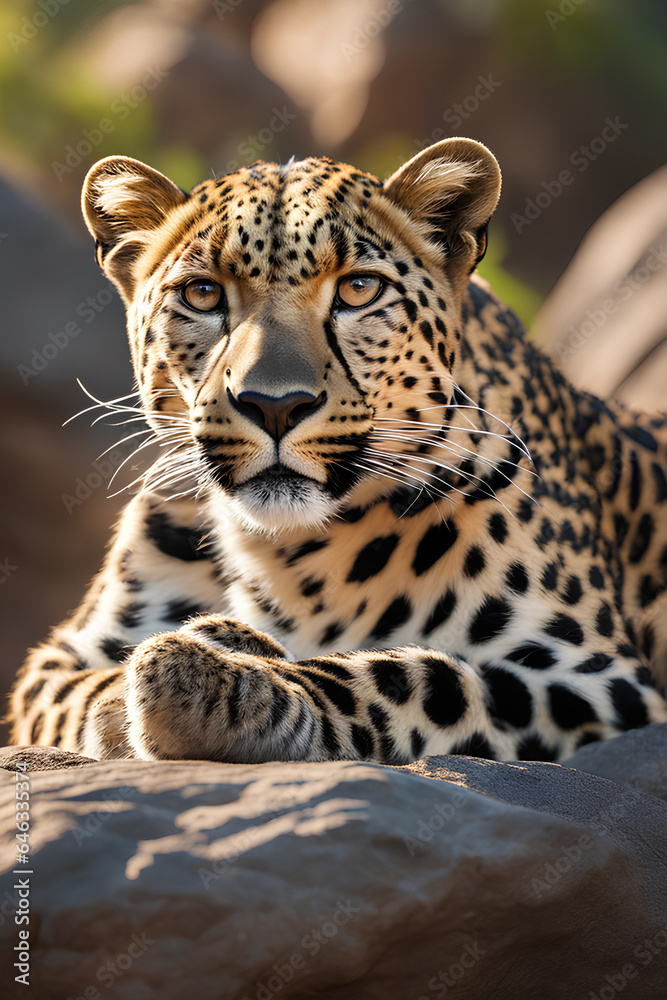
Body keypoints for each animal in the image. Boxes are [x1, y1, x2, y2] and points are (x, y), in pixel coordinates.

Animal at [8, 137, 667, 765]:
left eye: (358, 288)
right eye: (202, 294)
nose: (275, 405)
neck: (283, 551)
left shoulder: (597, 683)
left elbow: (423, 676)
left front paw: (225, 679)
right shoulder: (58, 660)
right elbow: (88, 691)